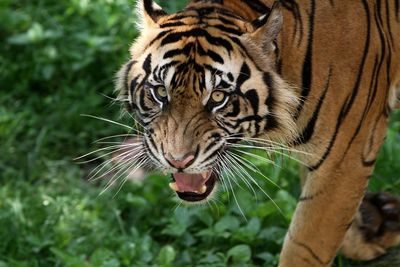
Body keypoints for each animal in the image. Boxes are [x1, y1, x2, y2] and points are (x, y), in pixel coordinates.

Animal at [115, 0, 400, 266]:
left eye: (217, 97)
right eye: (160, 92)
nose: (177, 161)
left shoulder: (345, 156)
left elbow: (306, 245)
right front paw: (372, 229)